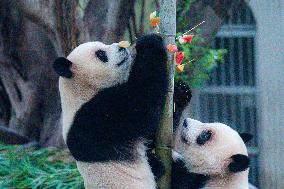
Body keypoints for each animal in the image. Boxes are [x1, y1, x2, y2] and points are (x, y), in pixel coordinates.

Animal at [52, 34, 169, 189]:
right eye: (101, 54)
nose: (122, 47)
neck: (80, 91)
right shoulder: (92, 120)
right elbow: (140, 105)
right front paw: (149, 42)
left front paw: (182, 93)